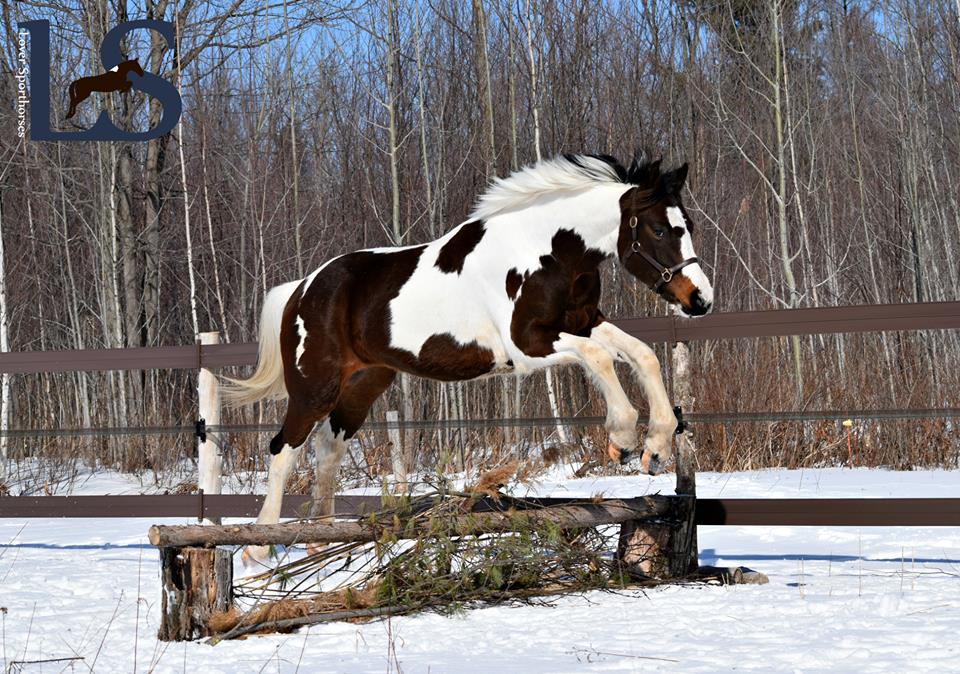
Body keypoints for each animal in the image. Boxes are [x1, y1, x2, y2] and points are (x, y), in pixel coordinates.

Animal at [229, 151, 712, 560]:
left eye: (687, 224)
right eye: (659, 229)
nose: (700, 299)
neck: (548, 251)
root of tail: (302, 288)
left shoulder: (583, 323)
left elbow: (642, 355)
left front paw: (656, 448)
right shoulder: (529, 345)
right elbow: (600, 358)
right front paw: (623, 440)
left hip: (363, 385)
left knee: (327, 452)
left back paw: (319, 541)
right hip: (315, 386)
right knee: (283, 449)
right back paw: (258, 549)